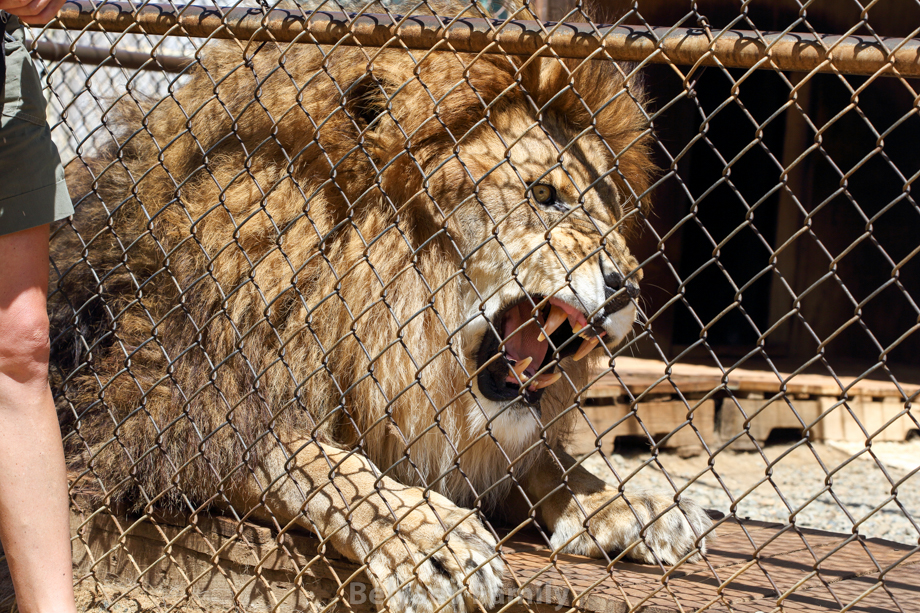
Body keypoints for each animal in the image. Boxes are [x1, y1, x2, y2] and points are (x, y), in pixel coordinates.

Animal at [49, 3, 712, 611]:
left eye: (612, 208)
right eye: (544, 193)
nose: (627, 288)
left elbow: (547, 459)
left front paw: (630, 500)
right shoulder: (164, 409)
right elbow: (311, 461)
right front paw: (430, 540)